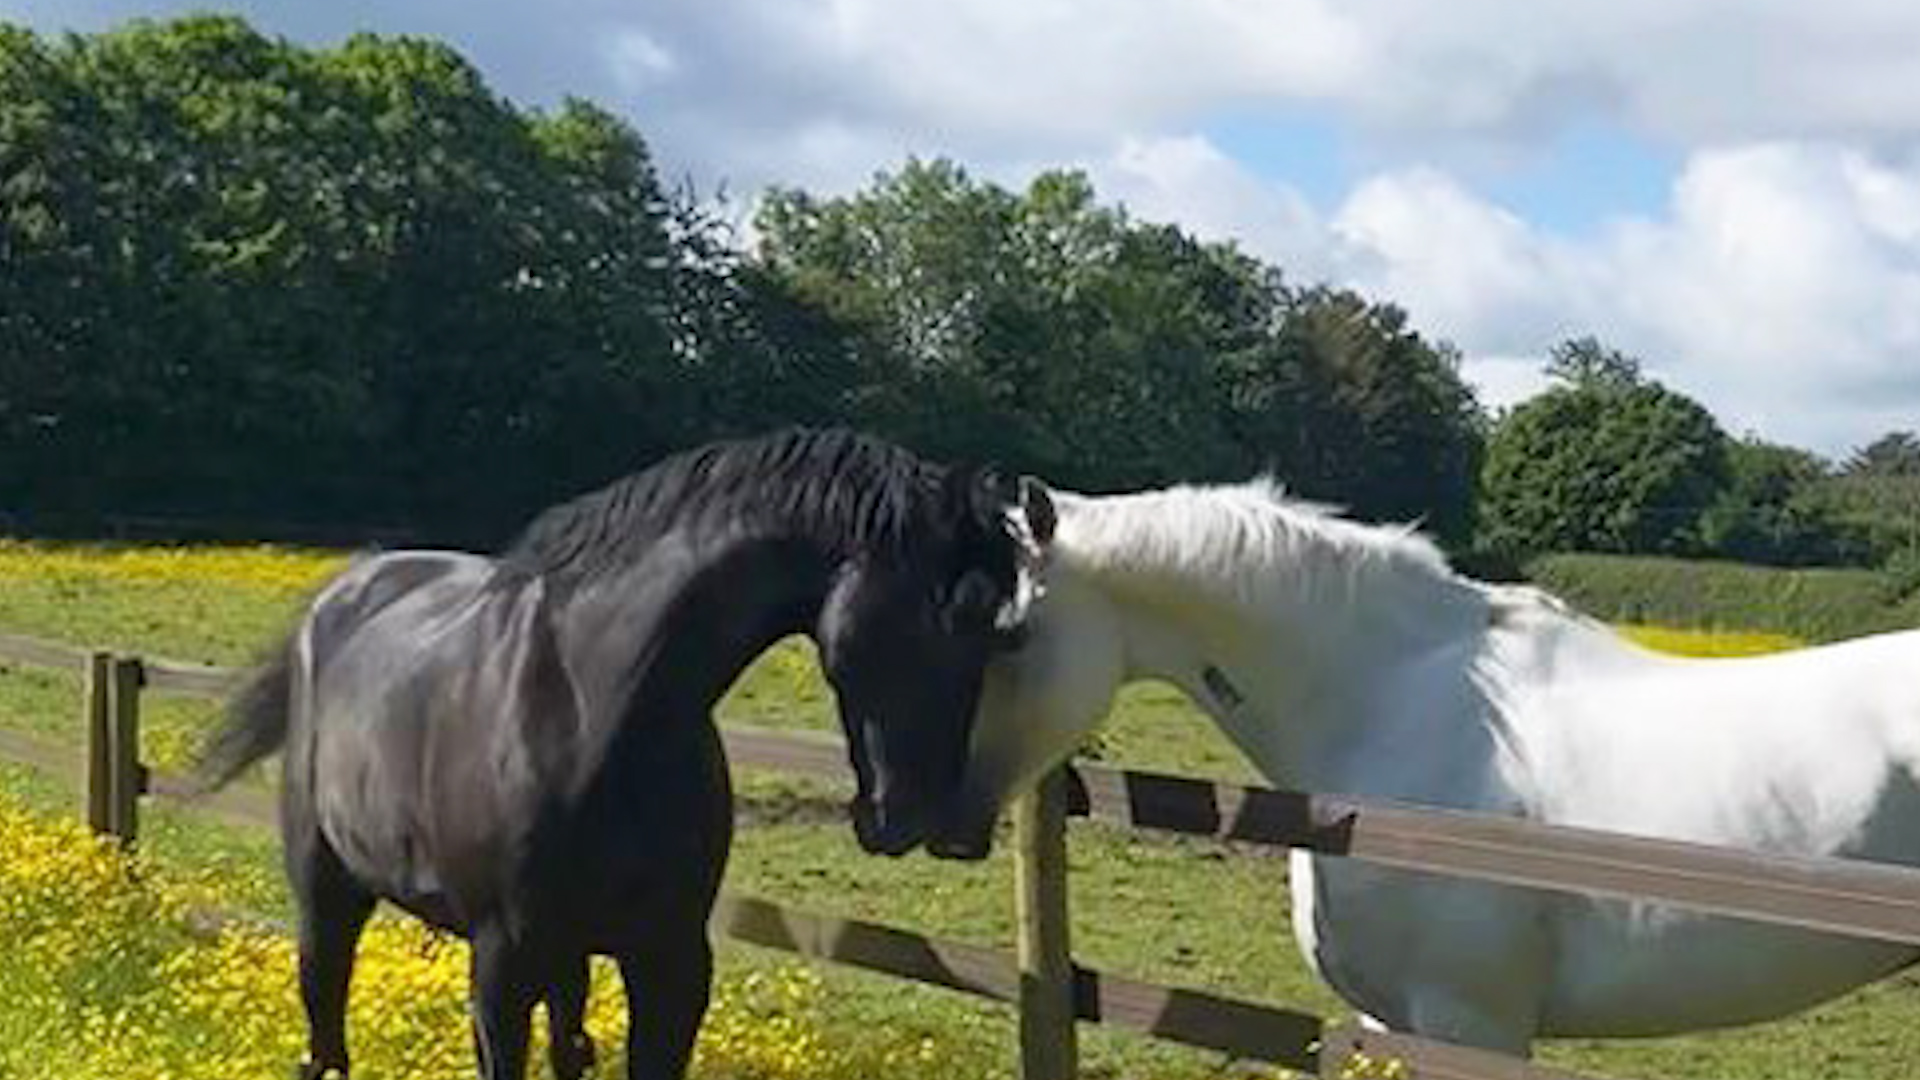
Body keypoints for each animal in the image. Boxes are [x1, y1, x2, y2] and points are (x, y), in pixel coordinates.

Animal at [192, 428, 1052, 1080]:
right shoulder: (501, 967)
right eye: (937, 616)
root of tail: (343, 593)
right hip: (329, 893)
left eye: (1000, 630)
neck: (590, 709)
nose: (921, 819)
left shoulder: (670, 962)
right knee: (324, 1033)